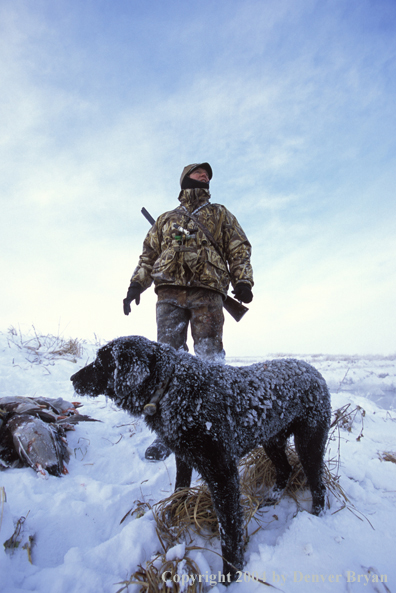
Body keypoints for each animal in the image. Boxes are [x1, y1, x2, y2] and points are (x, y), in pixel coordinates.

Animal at [71, 336, 332, 580]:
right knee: (285, 470)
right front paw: (173, 517)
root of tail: (314, 371)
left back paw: (316, 516)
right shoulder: (183, 458)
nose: (73, 379)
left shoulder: (223, 474)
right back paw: (273, 497)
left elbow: (229, 533)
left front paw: (230, 576)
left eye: (101, 362)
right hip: (272, 441)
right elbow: (180, 491)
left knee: (318, 485)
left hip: (309, 444)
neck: (171, 388)